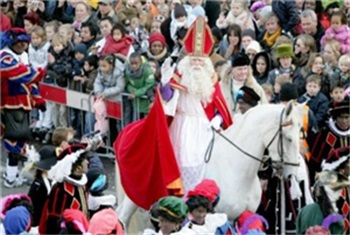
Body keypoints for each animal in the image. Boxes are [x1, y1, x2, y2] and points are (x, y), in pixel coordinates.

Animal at [116, 101, 302, 231]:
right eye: (288, 138)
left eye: (299, 135)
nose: (291, 175)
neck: (236, 167)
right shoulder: (221, 217)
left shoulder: (244, 216)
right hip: (135, 197)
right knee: (122, 218)